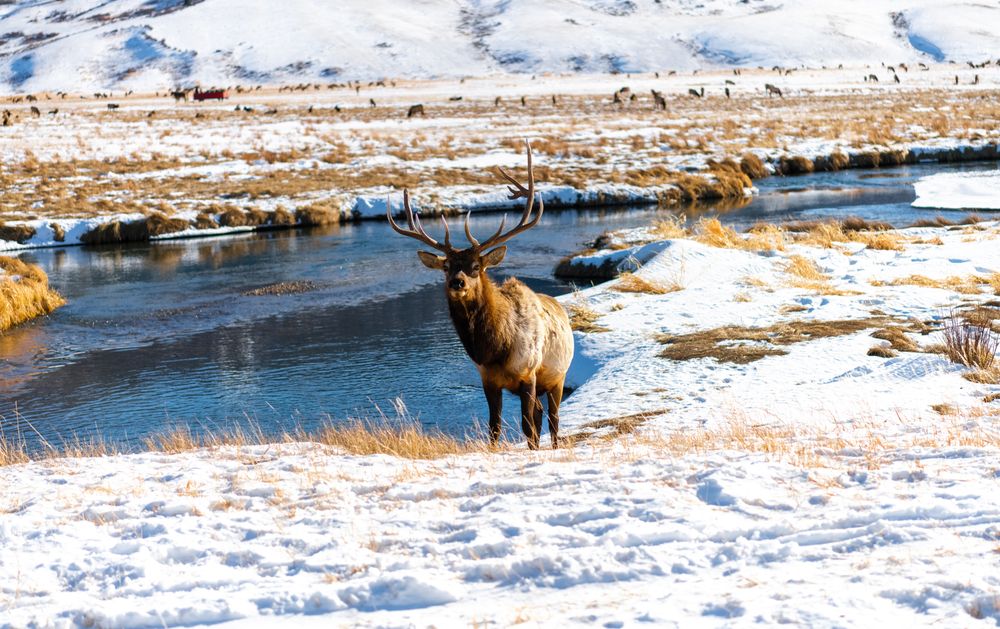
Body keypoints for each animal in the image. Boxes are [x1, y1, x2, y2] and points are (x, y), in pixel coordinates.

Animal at [387, 143, 573, 450]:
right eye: (447, 267)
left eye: (476, 266)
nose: (457, 282)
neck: (495, 348)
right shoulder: (488, 380)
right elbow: (494, 428)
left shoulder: (529, 374)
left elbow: (528, 428)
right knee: (540, 417)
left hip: (558, 376)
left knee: (553, 422)